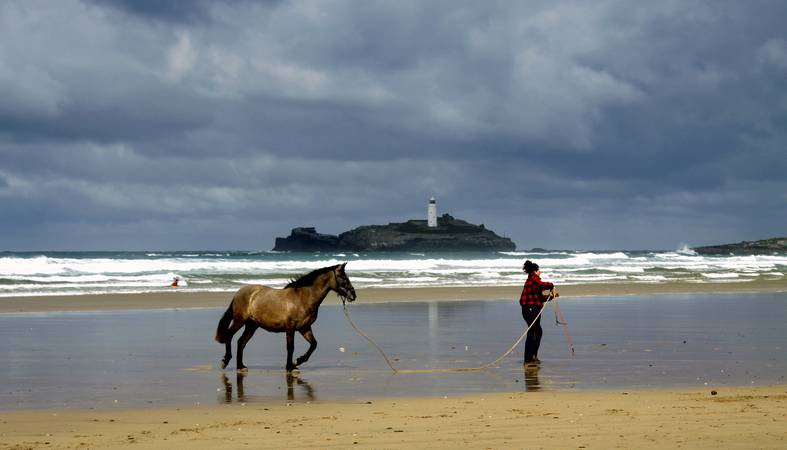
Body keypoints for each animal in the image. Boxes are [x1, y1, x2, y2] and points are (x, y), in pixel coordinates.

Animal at [212, 260, 354, 372]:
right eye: (343, 277)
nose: (353, 295)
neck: (302, 298)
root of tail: (238, 293)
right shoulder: (291, 328)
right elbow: (290, 347)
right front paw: (290, 366)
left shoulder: (304, 327)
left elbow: (314, 344)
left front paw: (297, 361)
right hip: (239, 321)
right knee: (229, 335)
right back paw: (225, 361)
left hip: (252, 325)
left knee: (241, 342)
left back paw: (241, 366)